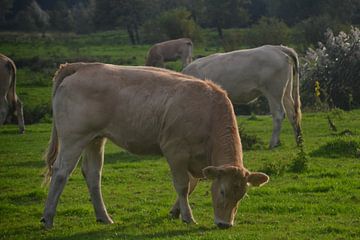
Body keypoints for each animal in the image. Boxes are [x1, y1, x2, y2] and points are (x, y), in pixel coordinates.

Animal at [40, 62, 268, 230]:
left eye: (242, 195)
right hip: (74, 137)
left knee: (93, 174)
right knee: (61, 172)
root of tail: (82, 65)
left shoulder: (198, 160)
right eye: (222, 191)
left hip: (95, 138)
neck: (208, 113)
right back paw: (48, 218)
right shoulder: (175, 151)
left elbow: (192, 185)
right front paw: (188, 217)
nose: (224, 224)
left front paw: (176, 212)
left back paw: (104, 217)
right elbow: (183, 185)